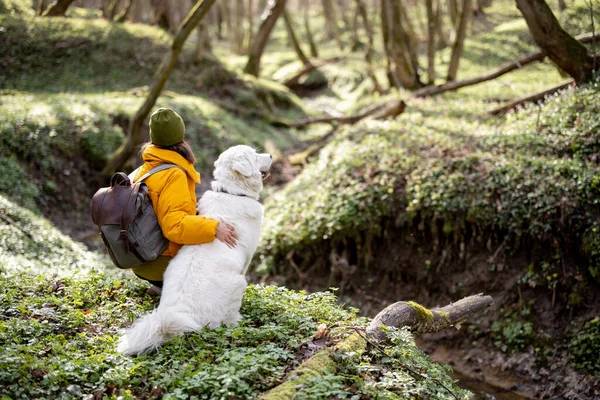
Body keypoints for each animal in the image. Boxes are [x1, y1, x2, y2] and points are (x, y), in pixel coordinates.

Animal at [117, 145, 272, 354]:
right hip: (239, 283)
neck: (231, 192)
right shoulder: (247, 259)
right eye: (255, 156)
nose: (270, 155)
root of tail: (179, 315)